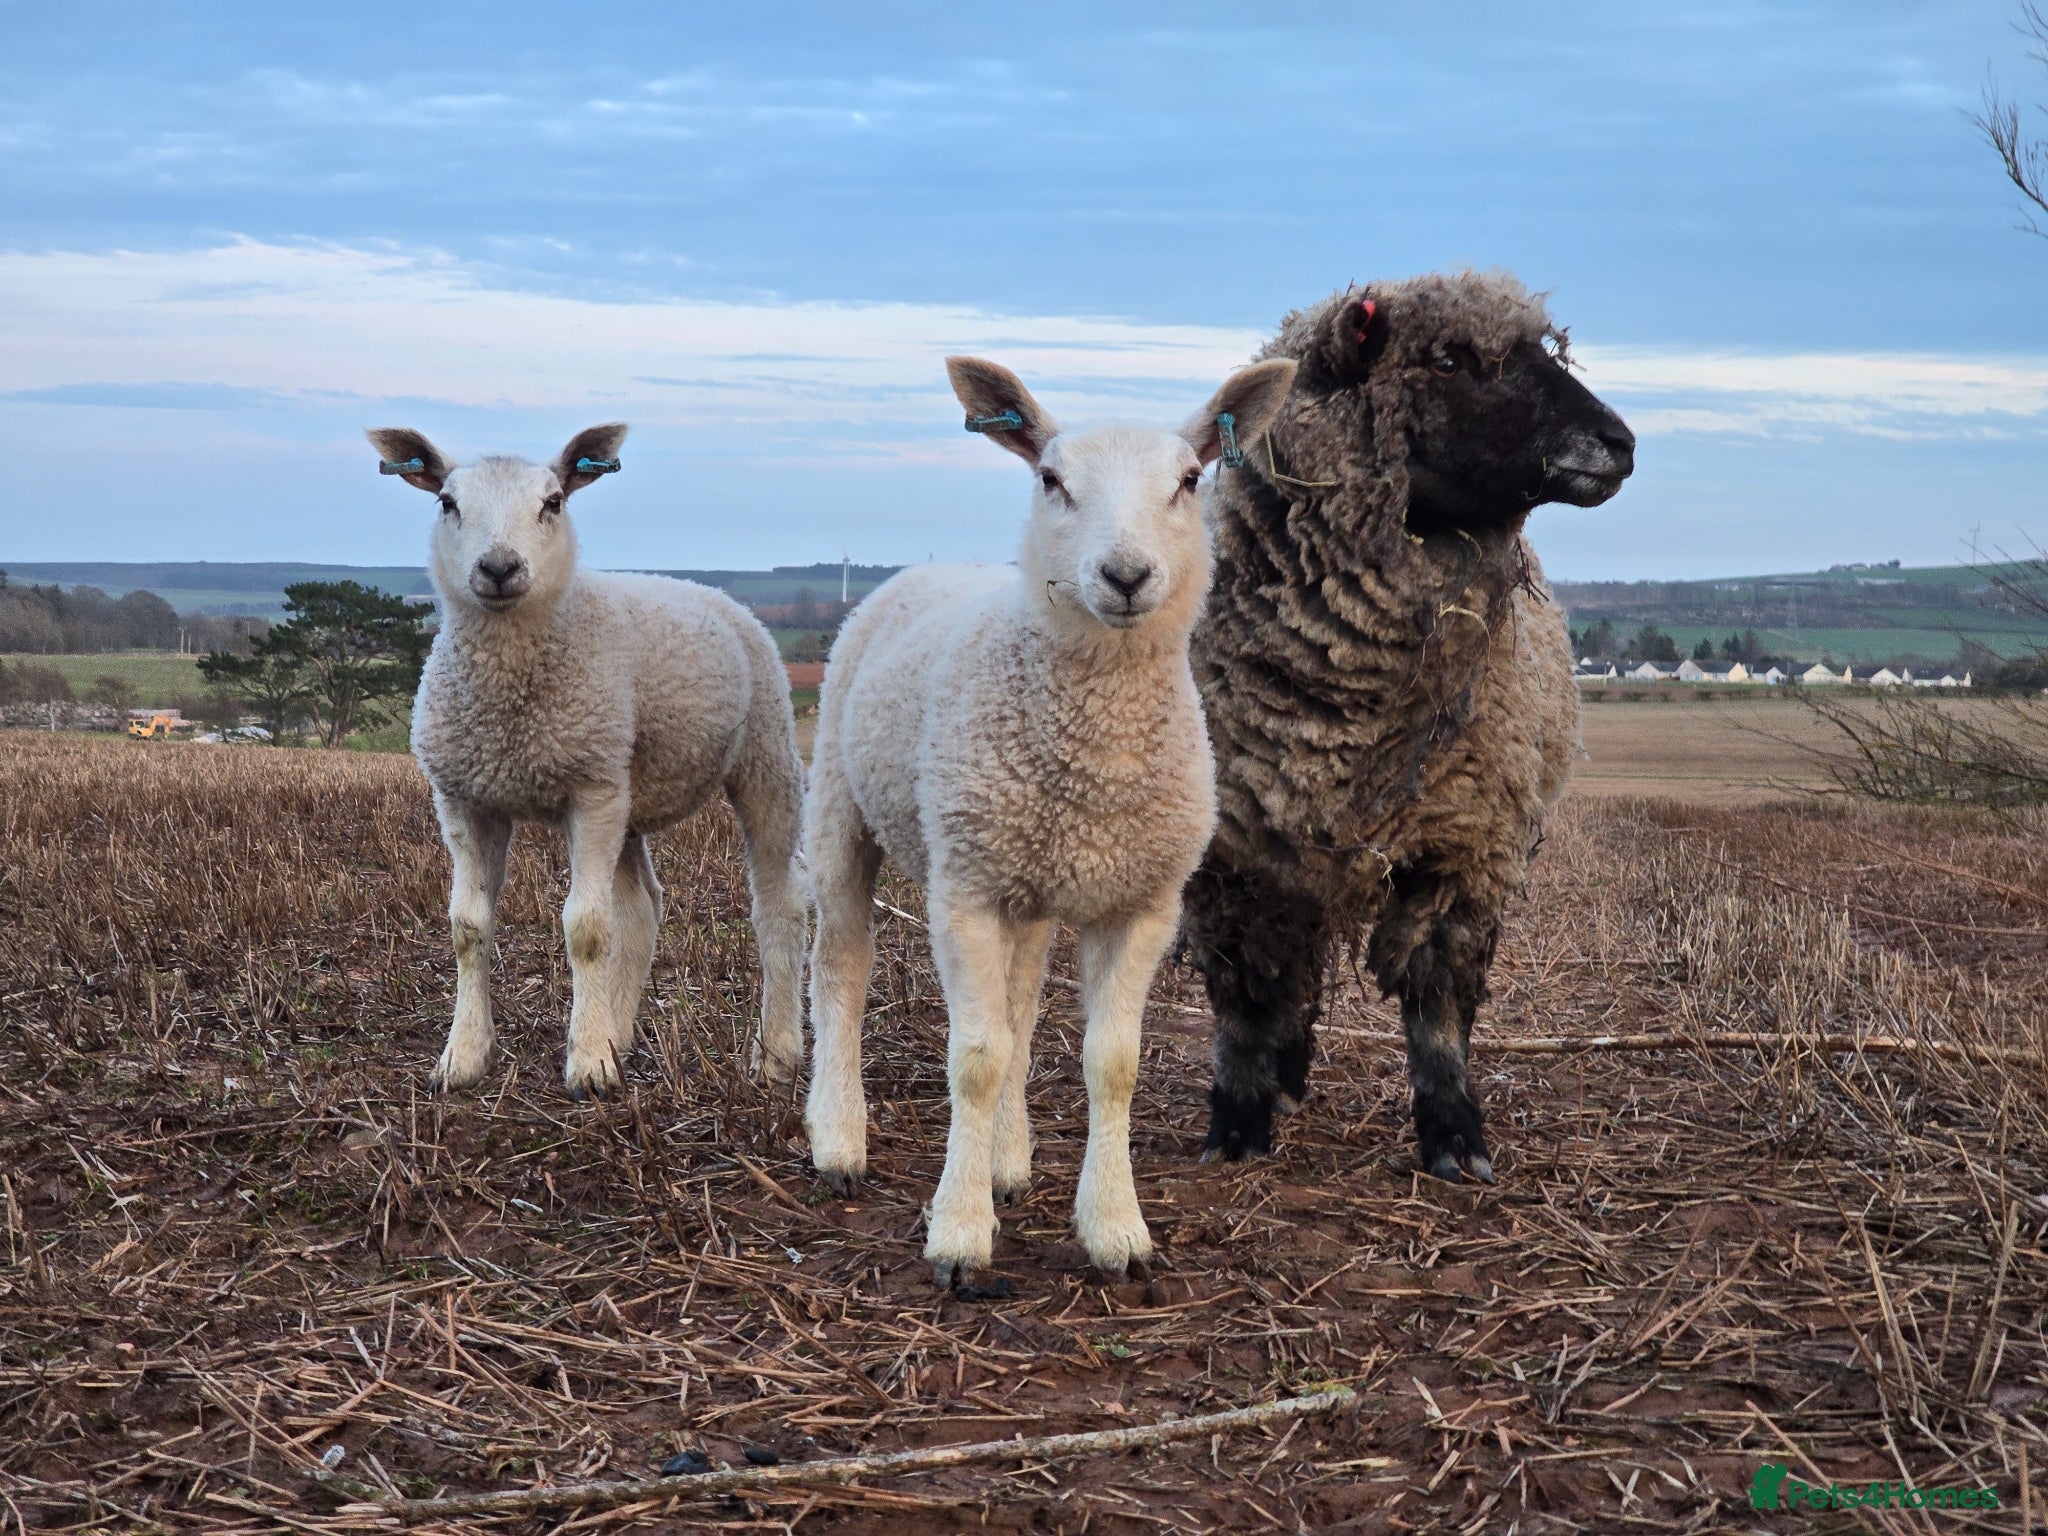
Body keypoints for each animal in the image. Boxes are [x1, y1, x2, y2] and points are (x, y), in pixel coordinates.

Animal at [365, 424, 808, 1099]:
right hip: (627, 789)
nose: (499, 567)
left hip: (764, 756)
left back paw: (775, 1054)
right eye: (447, 502)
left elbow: (586, 929)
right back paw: (617, 1034)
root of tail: (708, 590)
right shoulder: (465, 797)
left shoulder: (591, 791)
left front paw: (588, 1067)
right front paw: (464, 1057)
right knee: (642, 908)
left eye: (553, 502)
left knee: (778, 906)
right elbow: (469, 926)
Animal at [804, 355, 1297, 1285]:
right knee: (842, 969)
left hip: (1026, 884)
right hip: (843, 811)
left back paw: (1009, 1159)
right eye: (1051, 480)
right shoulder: (964, 891)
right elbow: (976, 1058)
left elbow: (1111, 1063)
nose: (1127, 575)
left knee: (1021, 1007)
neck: (1099, 748)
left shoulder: (1144, 902)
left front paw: (1115, 1227)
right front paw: (959, 1235)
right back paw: (839, 1139)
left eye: (1189, 480)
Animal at [1181, 271, 1636, 1181]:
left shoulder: (1462, 843)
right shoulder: (1234, 854)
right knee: (1290, 970)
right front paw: (1238, 1122)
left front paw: (1455, 1136)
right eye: (1450, 358)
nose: (1620, 442)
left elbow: (1438, 1005)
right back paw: (1285, 1075)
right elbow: (1242, 1000)